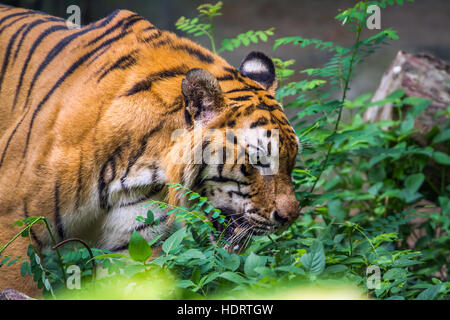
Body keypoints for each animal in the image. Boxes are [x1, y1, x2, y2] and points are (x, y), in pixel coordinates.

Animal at [0, 3, 302, 296]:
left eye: (292, 161)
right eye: (259, 160)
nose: (289, 218)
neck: (141, 162)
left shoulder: (132, 241)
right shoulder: (13, 232)